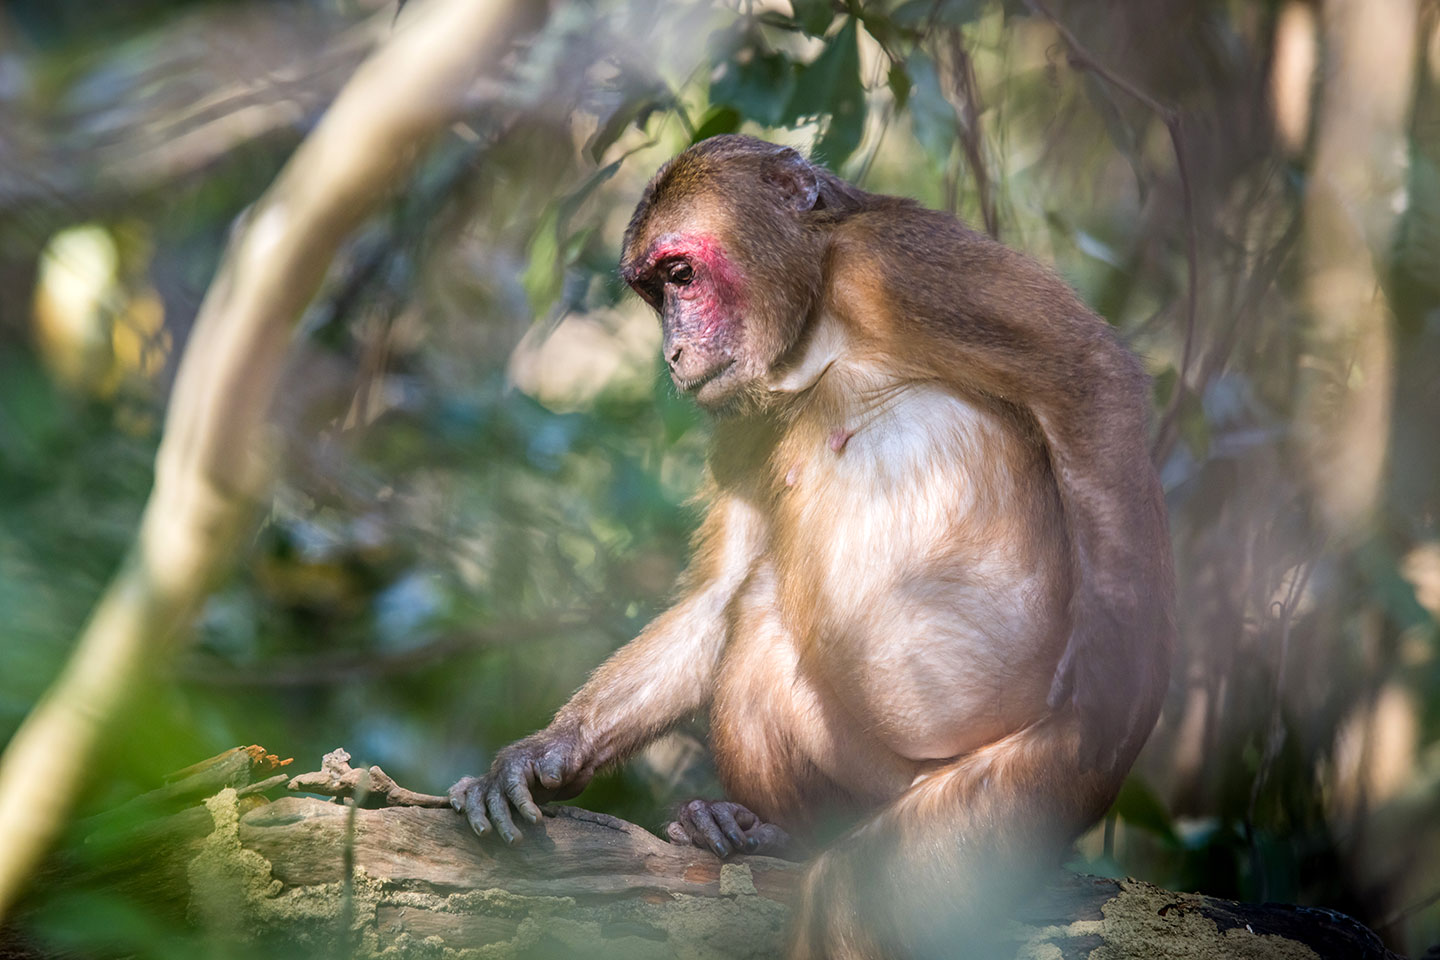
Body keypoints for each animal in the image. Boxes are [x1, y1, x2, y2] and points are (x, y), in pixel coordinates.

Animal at [450, 134, 1174, 959]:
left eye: (682, 275)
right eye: (654, 292)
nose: (672, 351)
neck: (816, 324)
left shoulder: (895, 267)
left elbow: (1088, 376)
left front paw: (1112, 674)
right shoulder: (739, 408)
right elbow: (719, 590)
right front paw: (548, 754)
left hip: (1004, 790)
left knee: (856, 895)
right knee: (758, 613)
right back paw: (779, 833)